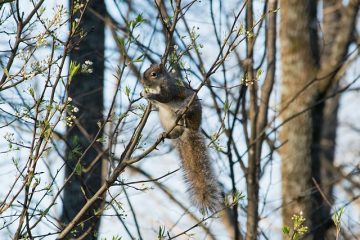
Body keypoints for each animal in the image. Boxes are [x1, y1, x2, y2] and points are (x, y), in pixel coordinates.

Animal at [141, 63, 222, 214]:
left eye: (154, 74)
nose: (143, 82)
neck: (158, 84)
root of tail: (189, 130)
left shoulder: (171, 88)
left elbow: (164, 97)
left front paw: (148, 94)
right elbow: (155, 104)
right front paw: (144, 94)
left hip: (190, 106)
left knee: (187, 110)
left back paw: (183, 116)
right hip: (165, 120)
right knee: (174, 134)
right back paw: (164, 134)